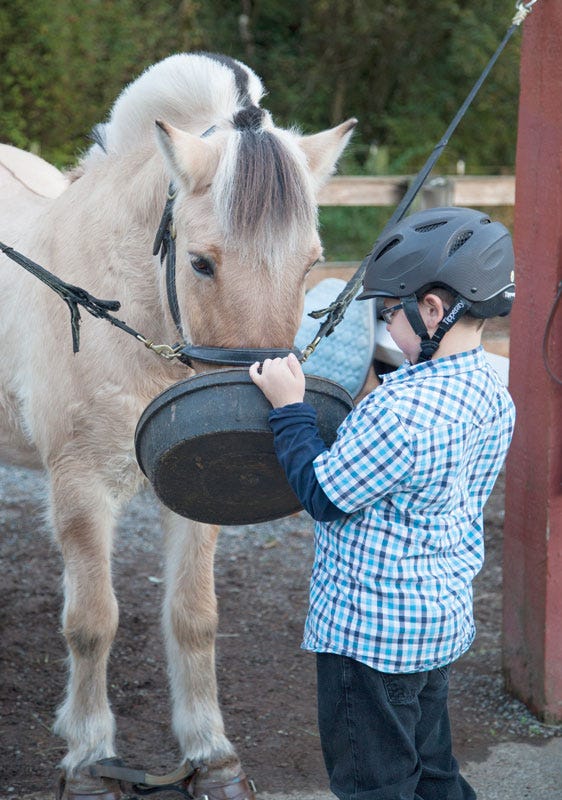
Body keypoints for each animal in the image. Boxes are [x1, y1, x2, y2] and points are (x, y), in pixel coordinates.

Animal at [0, 53, 354, 796]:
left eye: (312, 263)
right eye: (200, 262)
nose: (259, 416)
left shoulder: (193, 494)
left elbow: (195, 618)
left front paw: (210, 753)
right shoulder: (79, 489)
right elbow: (91, 623)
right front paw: (89, 756)